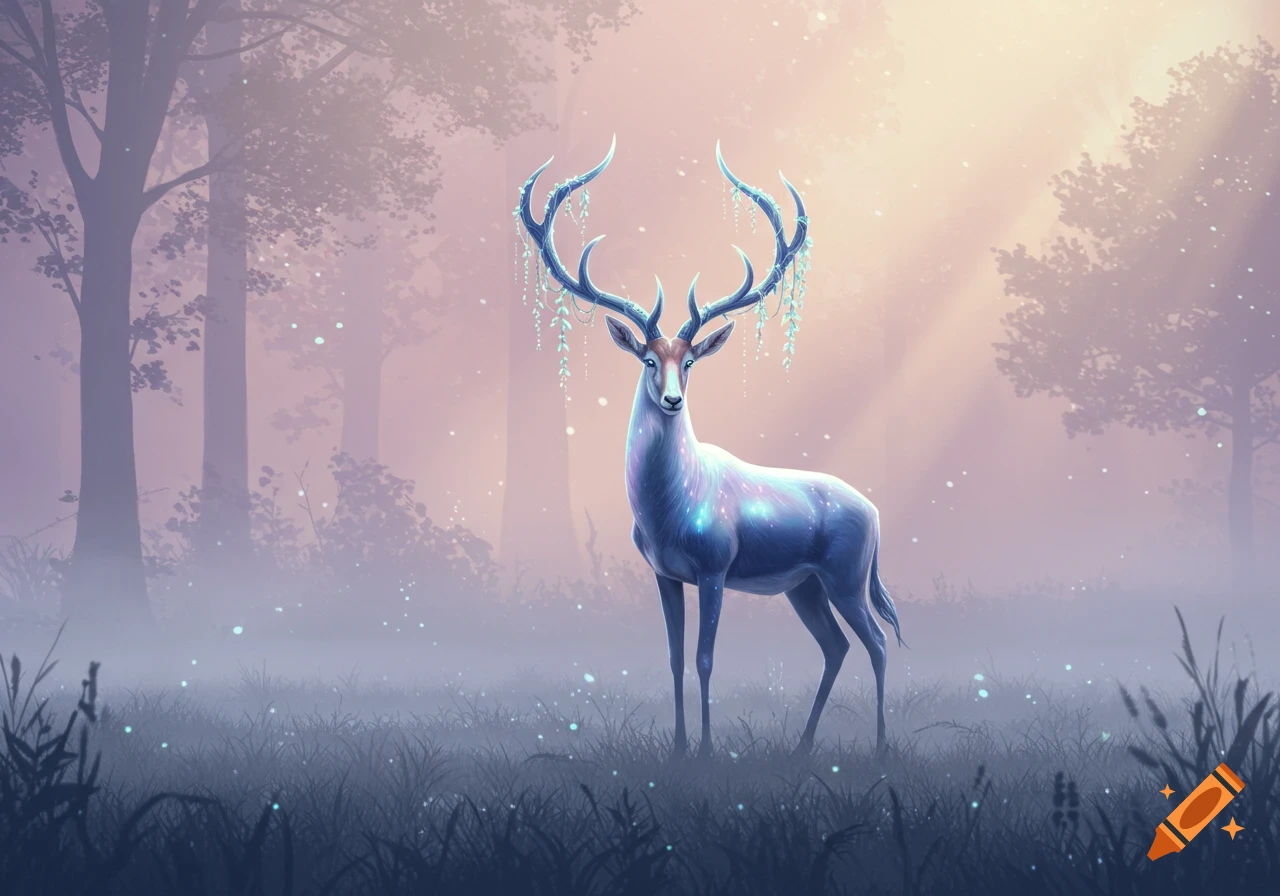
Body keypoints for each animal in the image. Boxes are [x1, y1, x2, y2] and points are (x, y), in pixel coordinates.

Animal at [516, 136, 903, 760]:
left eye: (691, 361)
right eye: (649, 359)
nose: (673, 400)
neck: (671, 507)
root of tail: (873, 510)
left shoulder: (717, 569)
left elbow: (704, 658)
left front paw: (703, 751)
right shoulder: (666, 574)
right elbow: (675, 658)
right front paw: (677, 749)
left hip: (846, 578)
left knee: (877, 643)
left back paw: (882, 747)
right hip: (806, 587)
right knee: (837, 647)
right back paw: (801, 748)